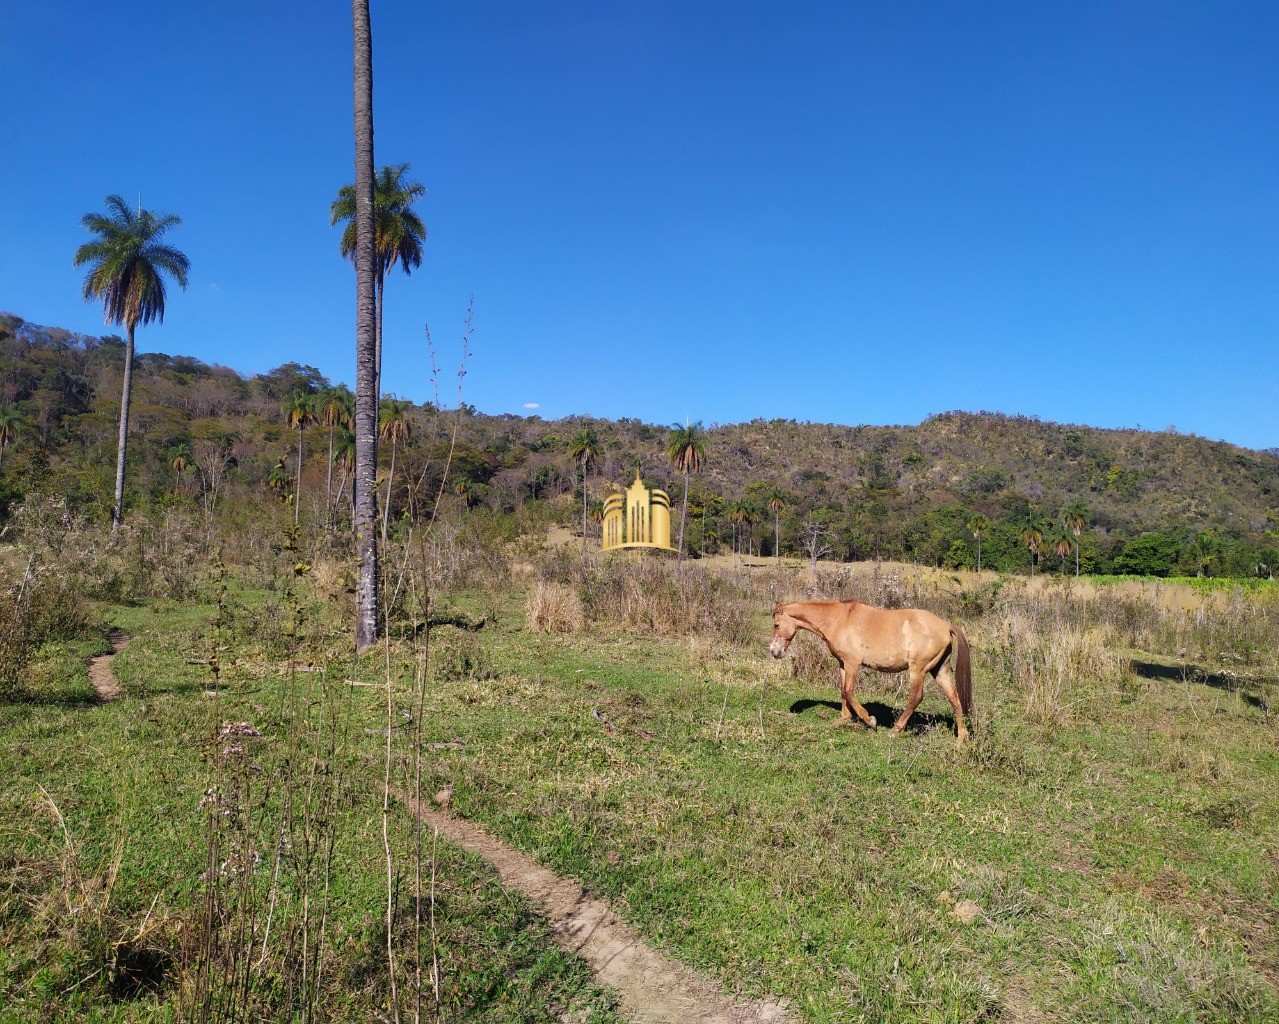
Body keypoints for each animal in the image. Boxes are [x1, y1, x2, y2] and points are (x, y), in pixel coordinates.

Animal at [772, 598, 972, 741]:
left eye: (776, 625)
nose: (774, 652)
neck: (838, 619)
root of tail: (946, 627)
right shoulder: (843, 664)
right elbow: (843, 691)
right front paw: (844, 719)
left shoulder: (853, 664)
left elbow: (849, 692)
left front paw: (870, 720)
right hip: (939, 671)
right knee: (954, 698)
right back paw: (961, 738)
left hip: (918, 671)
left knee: (916, 697)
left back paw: (895, 730)